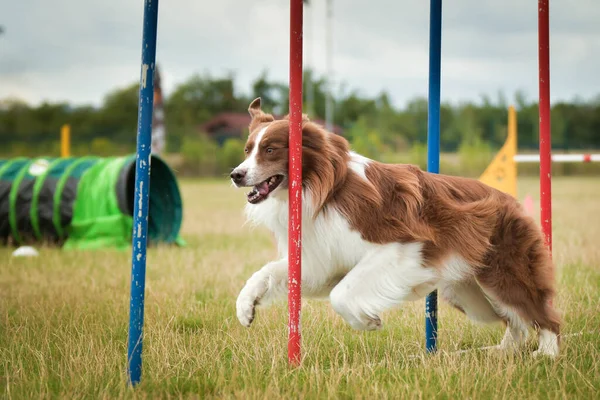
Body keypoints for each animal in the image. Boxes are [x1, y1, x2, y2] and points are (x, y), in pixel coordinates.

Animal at [231, 97, 564, 356]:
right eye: (248, 150)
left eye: (271, 149)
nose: (236, 174)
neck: (324, 190)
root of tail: (511, 201)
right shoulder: (324, 263)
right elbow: (267, 272)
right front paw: (245, 307)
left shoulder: (401, 248)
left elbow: (342, 293)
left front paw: (368, 321)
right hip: (467, 293)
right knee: (515, 322)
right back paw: (500, 352)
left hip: (503, 275)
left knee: (541, 314)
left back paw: (546, 355)